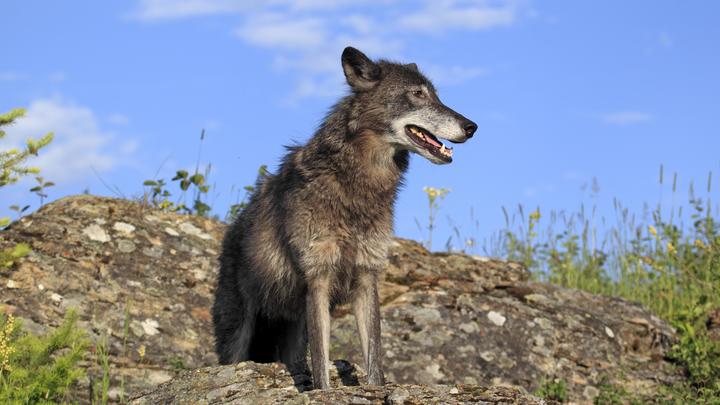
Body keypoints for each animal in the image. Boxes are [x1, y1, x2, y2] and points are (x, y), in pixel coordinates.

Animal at [211, 45, 476, 388]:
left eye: (437, 95)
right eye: (418, 94)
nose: (472, 127)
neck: (357, 186)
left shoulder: (367, 276)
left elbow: (374, 357)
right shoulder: (318, 277)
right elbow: (322, 365)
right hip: (239, 334)